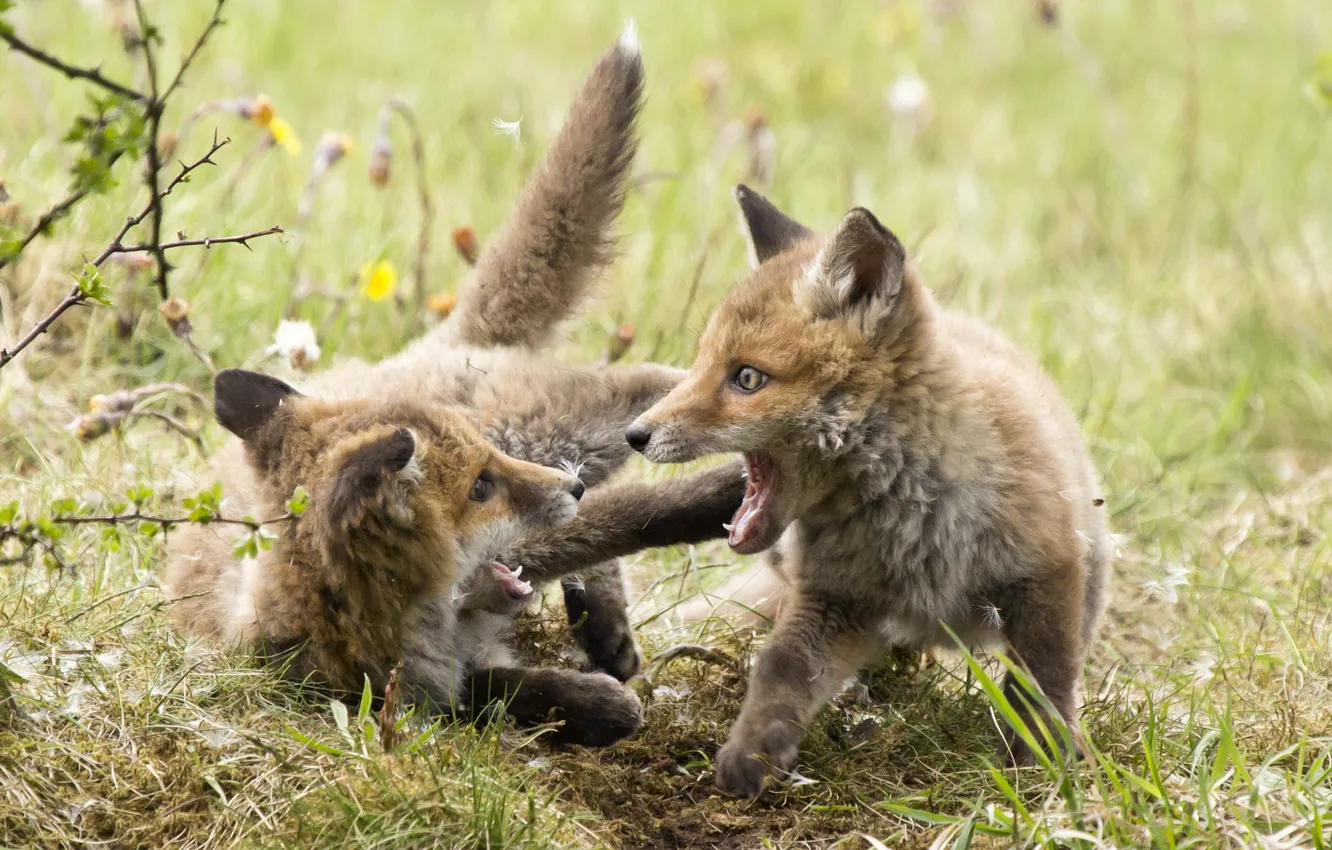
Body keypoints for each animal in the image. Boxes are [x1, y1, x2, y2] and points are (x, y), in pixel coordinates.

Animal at [164, 25, 746, 746]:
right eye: (480, 487)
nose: (572, 489)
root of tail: (423, 348)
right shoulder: (426, 679)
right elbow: (503, 692)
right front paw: (593, 704)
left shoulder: (535, 535)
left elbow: (639, 514)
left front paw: (725, 495)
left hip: (560, 429)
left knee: (659, 389)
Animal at [626, 185, 1112, 794]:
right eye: (697, 365)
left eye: (746, 378)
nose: (634, 435)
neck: (913, 516)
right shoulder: (836, 597)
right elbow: (780, 670)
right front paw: (749, 759)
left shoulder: (1046, 572)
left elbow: (1044, 688)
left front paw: (1042, 771)